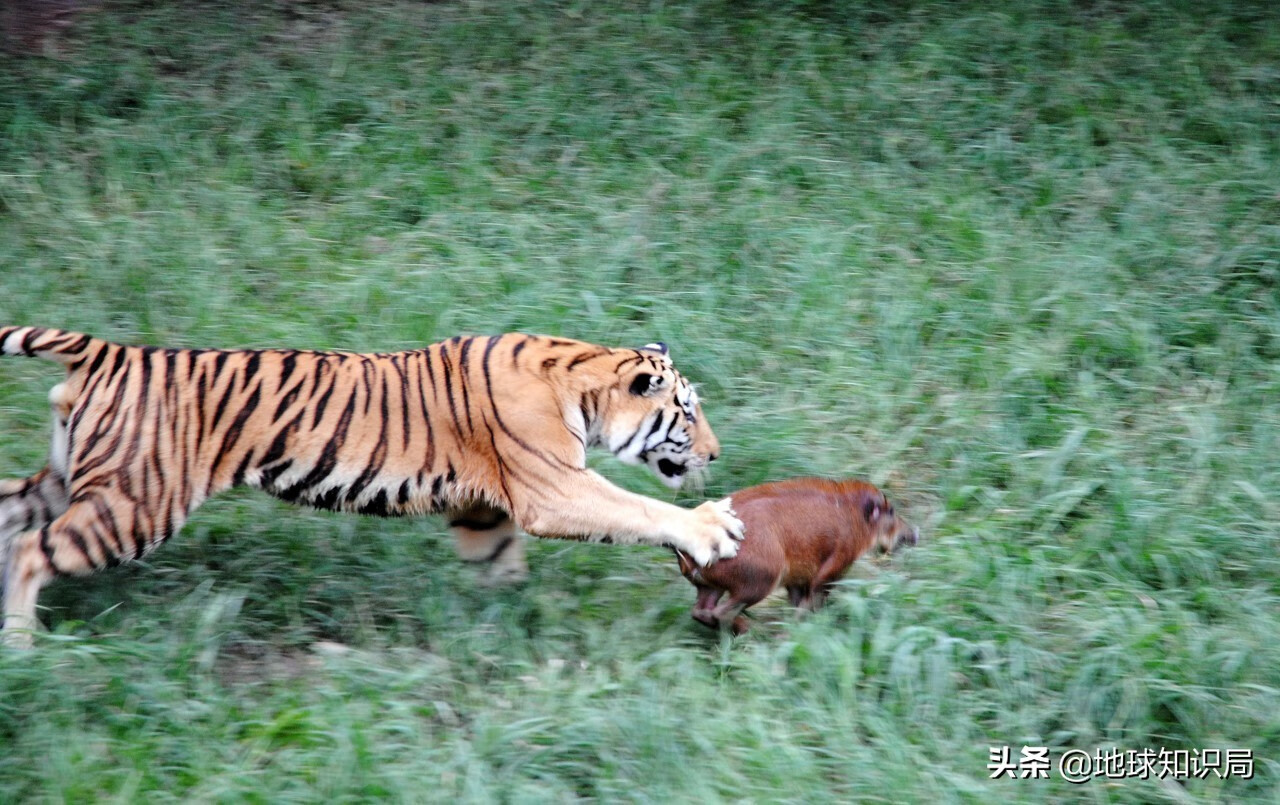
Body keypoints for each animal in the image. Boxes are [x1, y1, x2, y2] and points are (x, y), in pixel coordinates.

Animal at [0, 323, 747, 642]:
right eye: (687, 412)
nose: (717, 451)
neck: (582, 378)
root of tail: (110, 351)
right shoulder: (554, 488)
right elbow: (639, 508)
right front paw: (713, 528)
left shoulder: (484, 509)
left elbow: (501, 567)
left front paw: (515, 619)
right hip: (134, 505)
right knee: (35, 550)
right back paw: (23, 643)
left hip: (72, 481)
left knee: (14, 520)